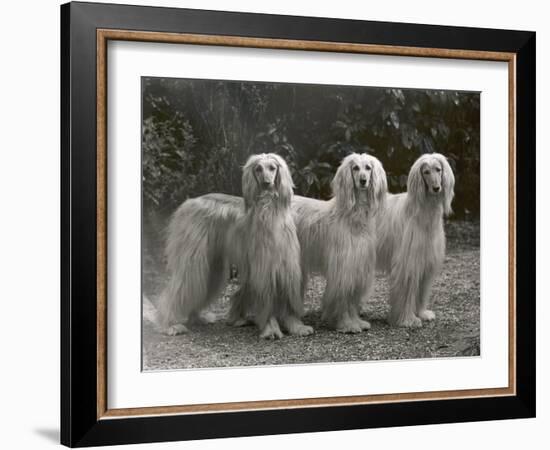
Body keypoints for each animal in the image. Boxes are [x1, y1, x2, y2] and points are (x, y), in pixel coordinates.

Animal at [157, 153, 312, 340]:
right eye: (258, 169)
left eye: (272, 168)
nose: (266, 183)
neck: (269, 212)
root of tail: (189, 203)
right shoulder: (263, 267)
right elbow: (265, 300)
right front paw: (270, 328)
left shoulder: (285, 264)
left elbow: (288, 298)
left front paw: (296, 326)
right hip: (193, 256)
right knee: (183, 286)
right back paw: (169, 324)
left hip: (212, 262)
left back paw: (197, 317)